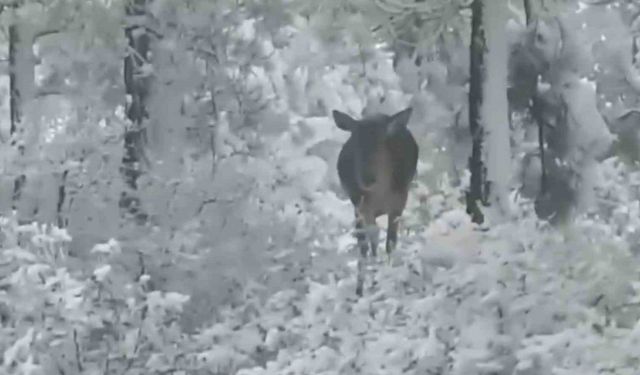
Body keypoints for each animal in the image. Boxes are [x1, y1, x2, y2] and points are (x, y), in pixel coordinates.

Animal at [336, 106, 420, 296]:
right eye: (355, 144)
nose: (367, 178)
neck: (379, 194)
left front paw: (386, 277)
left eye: (381, 144)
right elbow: (365, 246)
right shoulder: (359, 206)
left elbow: (390, 242)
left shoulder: (399, 203)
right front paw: (360, 290)